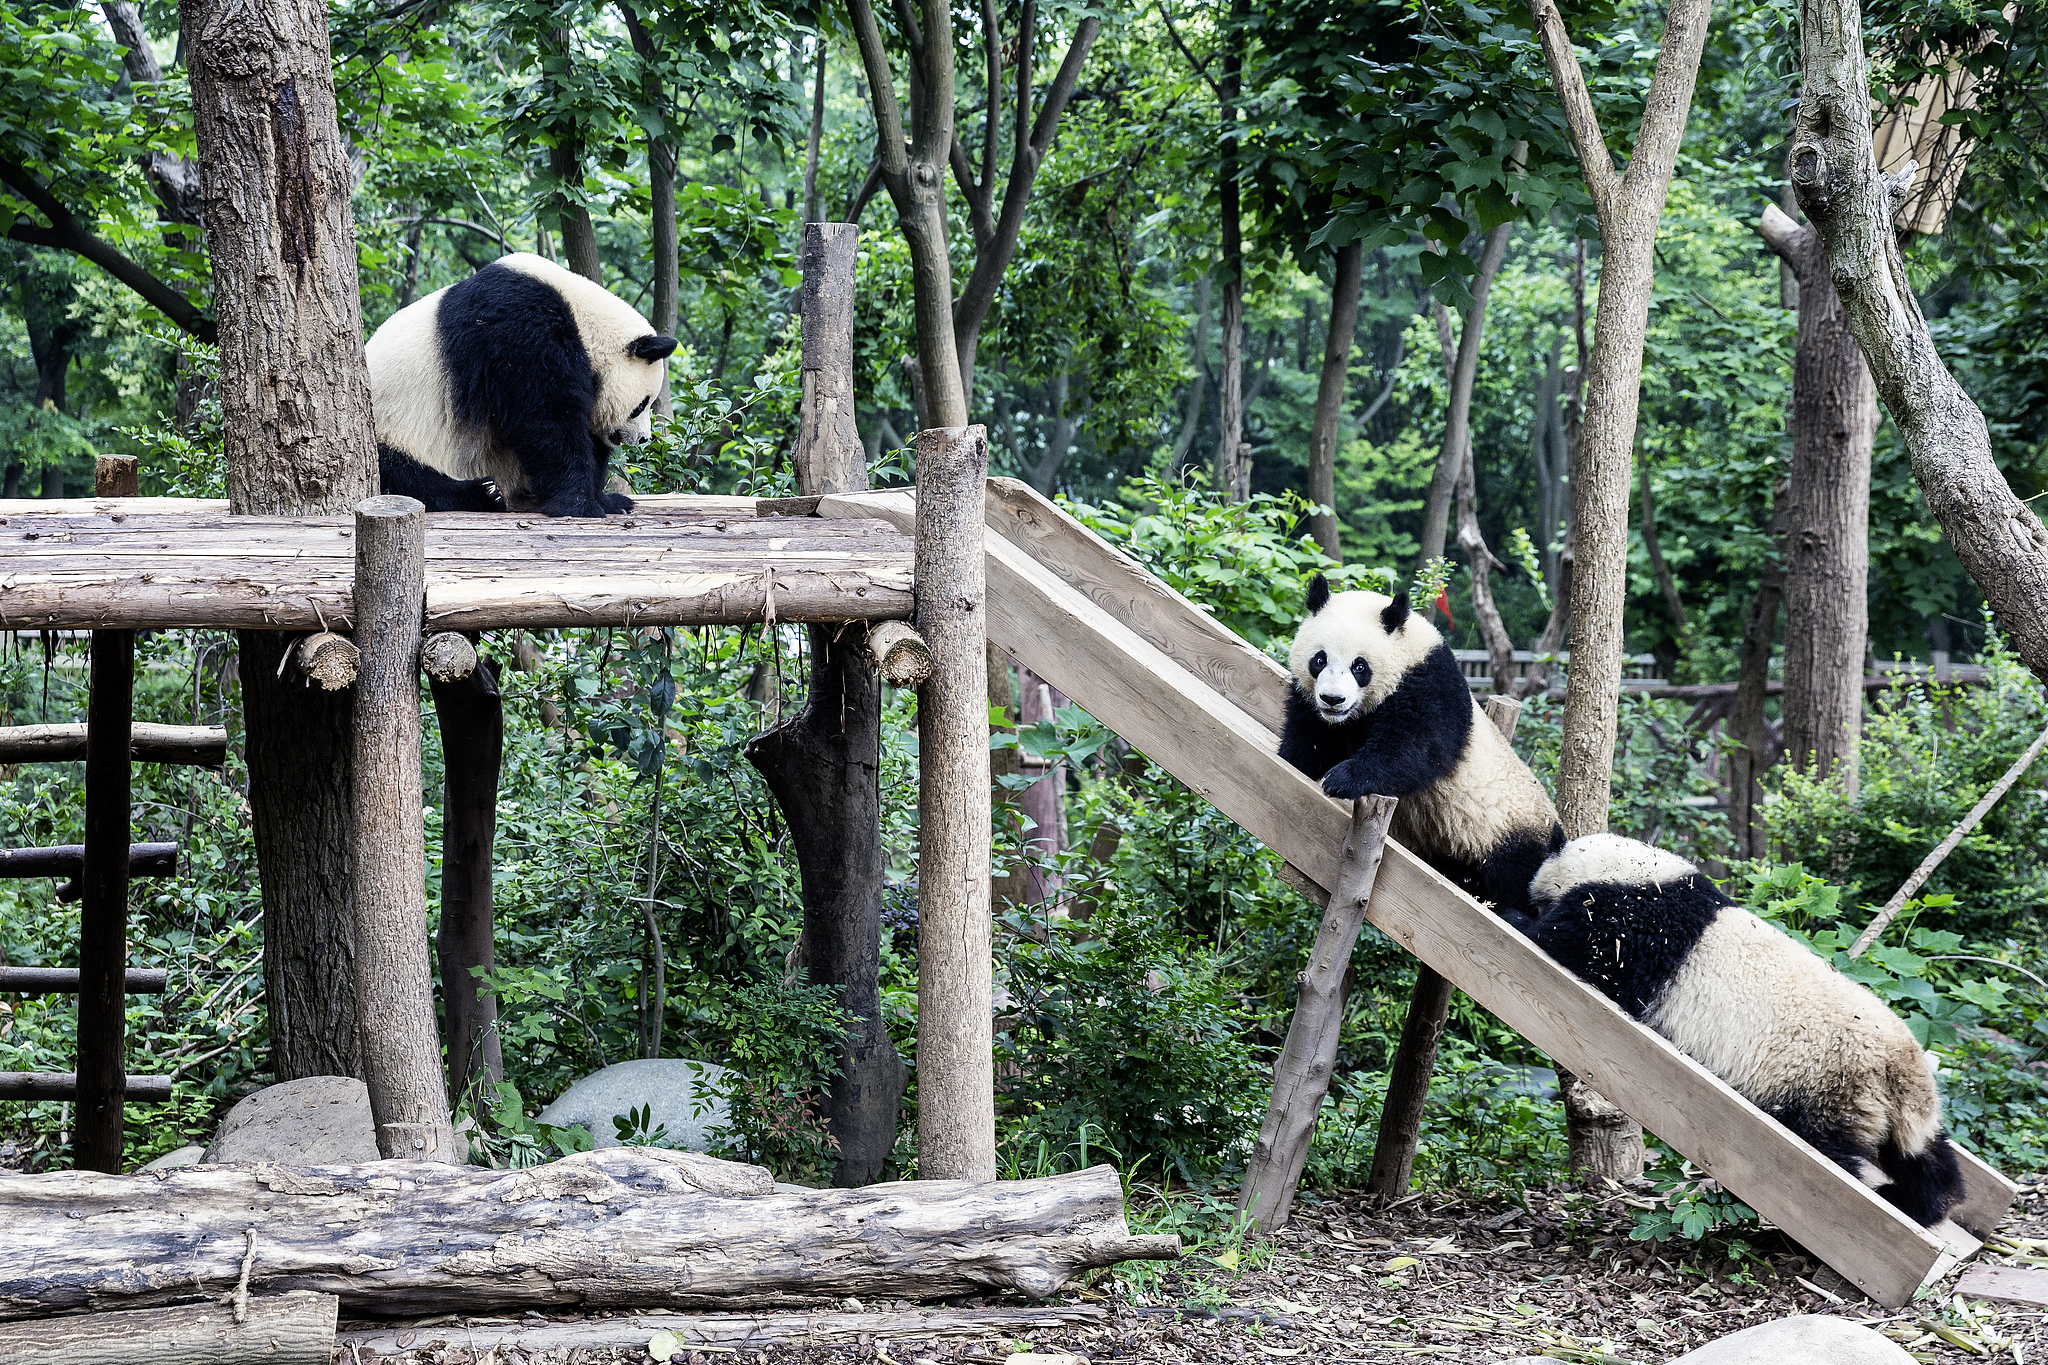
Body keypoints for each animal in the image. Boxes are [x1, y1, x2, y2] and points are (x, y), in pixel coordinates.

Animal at [365, 252, 678, 518]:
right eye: (642, 404)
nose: (643, 439)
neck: (582, 316)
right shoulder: (520, 328)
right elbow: (545, 416)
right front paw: (580, 504)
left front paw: (609, 500)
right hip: (393, 427)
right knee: (400, 473)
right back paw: (483, 493)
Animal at [1279, 574, 1563, 913]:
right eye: (1319, 660)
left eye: (1359, 666)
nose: (1333, 699)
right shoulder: (1317, 710)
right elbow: (1311, 740)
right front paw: (1294, 760)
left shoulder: (1429, 684)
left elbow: (1416, 750)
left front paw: (1342, 779)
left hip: (1509, 829)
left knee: (1516, 875)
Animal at [1509, 832, 1966, 1227]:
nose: (1527, 894)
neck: (1642, 871)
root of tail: (1900, 1066)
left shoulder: (1633, 924)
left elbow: (1574, 942)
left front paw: (1516, 914)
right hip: (1897, 1108)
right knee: (1923, 1154)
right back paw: (1921, 1203)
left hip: (1825, 1082)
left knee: (1831, 1152)